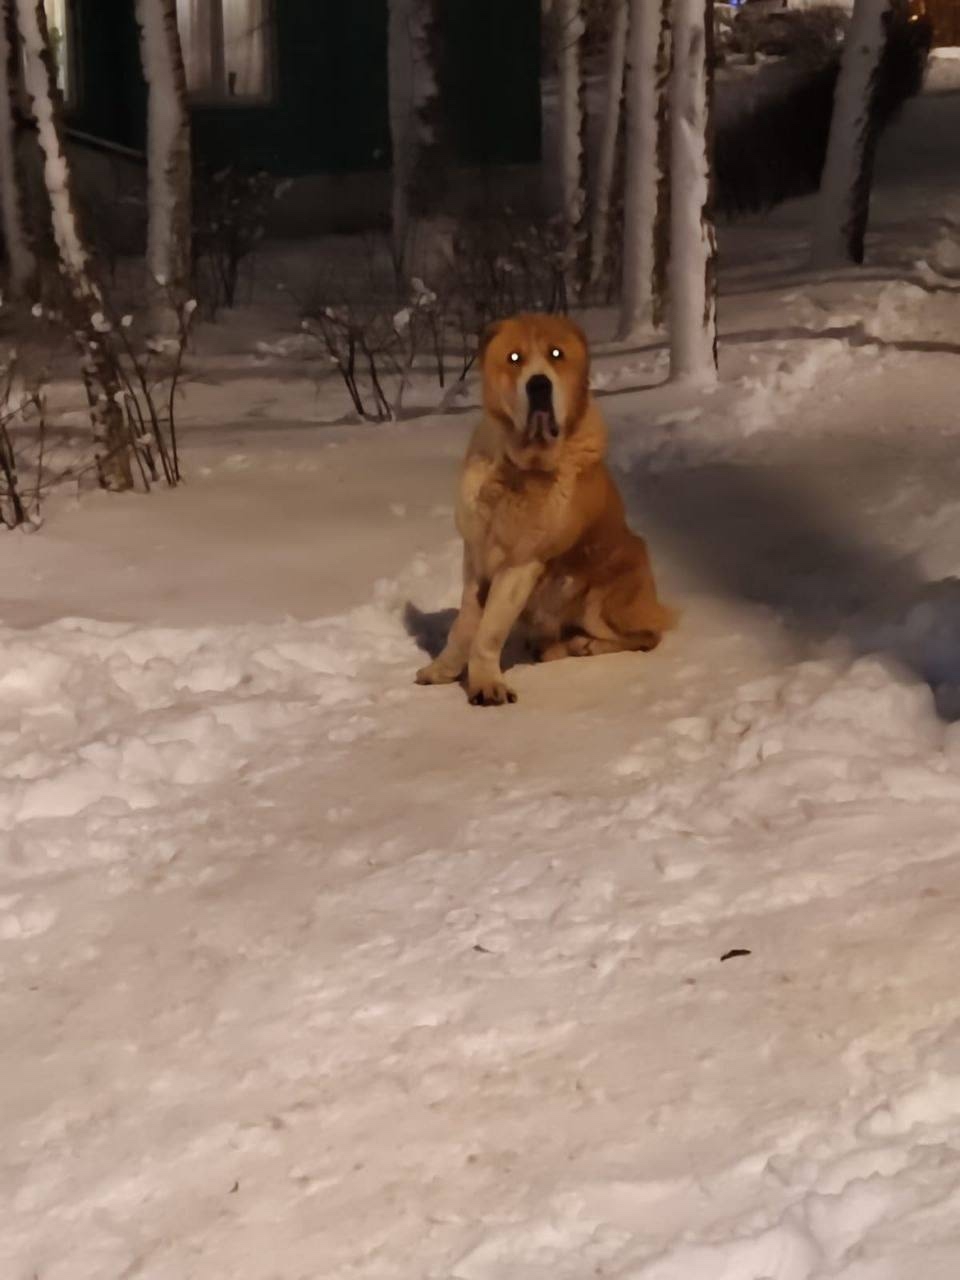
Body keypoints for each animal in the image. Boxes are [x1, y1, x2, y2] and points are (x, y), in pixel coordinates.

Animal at [416, 313, 675, 706]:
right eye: (514, 358)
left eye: (556, 354)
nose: (539, 384)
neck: (516, 470)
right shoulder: (475, 554)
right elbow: (465, 625)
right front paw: (443, 671)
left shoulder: (521, 564)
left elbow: (489, 629)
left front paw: (486, 683)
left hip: (601, 596)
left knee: (647, 635)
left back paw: (584, 644)